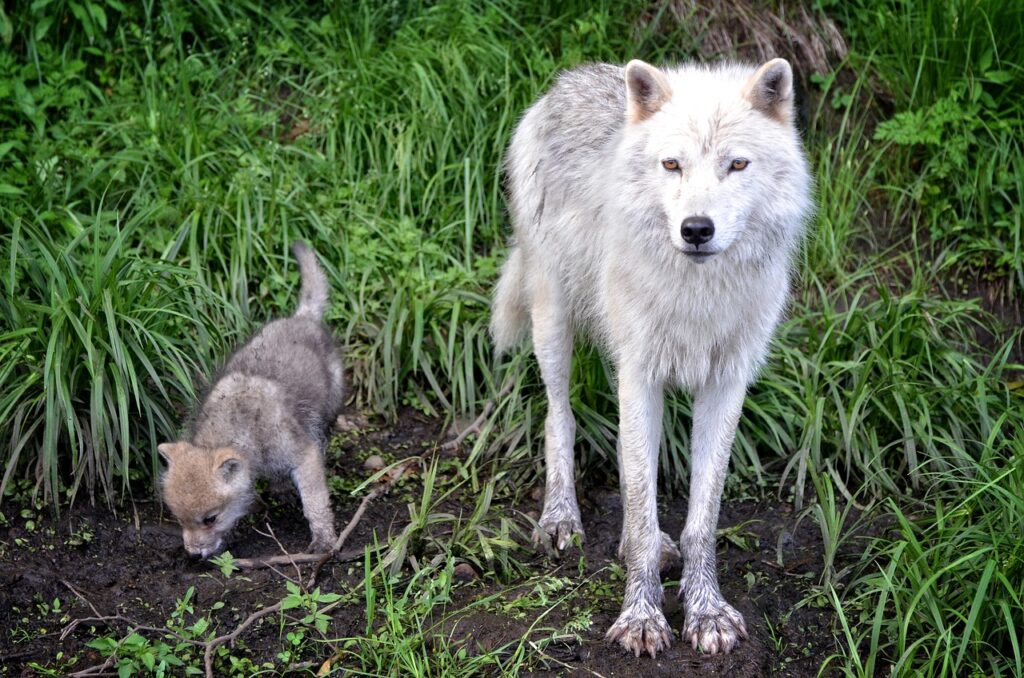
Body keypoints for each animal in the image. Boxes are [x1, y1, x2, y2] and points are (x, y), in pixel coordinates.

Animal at [159, 242, 345, 558]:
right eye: (178, 518)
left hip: (330, 406)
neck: (244, 426)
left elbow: (315, 504)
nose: (193, 554)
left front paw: (324, 541)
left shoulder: (305, 454)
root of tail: (303, 317)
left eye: (210, 518)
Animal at [491, 58, 812, 657]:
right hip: (553, 318)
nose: (696, 229)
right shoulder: (641, 372)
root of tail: (567, 80)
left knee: (625, 450)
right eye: (672, 164)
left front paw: (706, 611)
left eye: (737, 164)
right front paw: (641, 618)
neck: (697, 292)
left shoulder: (724, 382)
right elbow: (642, 503)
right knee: (558, 417)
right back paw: (560, 517)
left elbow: (700, 517)